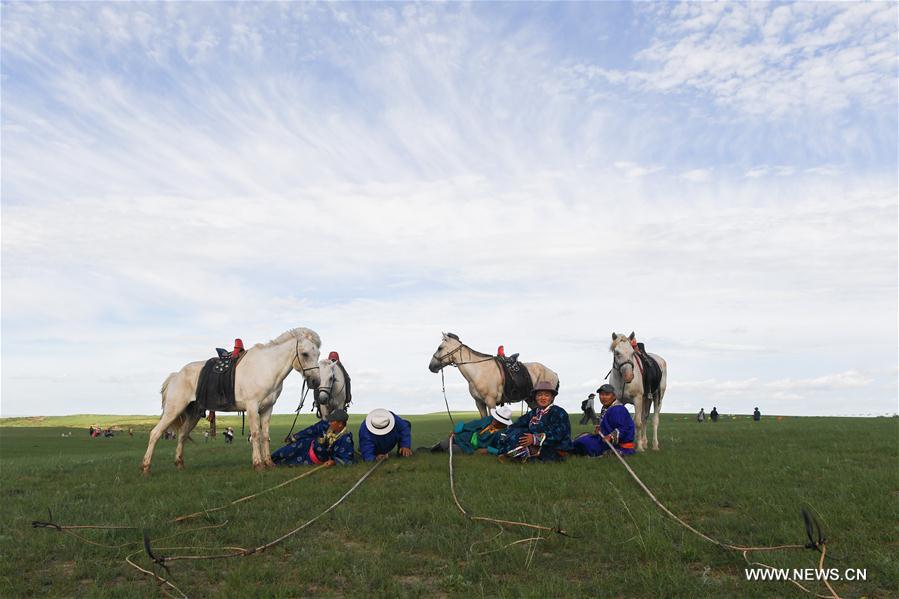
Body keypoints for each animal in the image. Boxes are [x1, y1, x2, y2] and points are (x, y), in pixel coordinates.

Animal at [141, 328, 324, 474]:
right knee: (155, 433)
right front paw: (258, 464)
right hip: (174, 410)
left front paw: (269, 463)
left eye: (318, 354)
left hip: (193, 414)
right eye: (305, 354)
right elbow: (255, 434)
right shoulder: (252, 407)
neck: (265, 367)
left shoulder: (267, 409)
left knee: (182, 435)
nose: (315, 381)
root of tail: (176, 376)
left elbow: (265, 435)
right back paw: (146, 467)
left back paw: (179, 464)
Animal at [430, 330, 564, 420]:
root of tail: (553, 373)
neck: (478, 372)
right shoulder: (479, 403)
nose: (431, 366)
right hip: (531, 400)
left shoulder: (491, 402)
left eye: (440, 348)